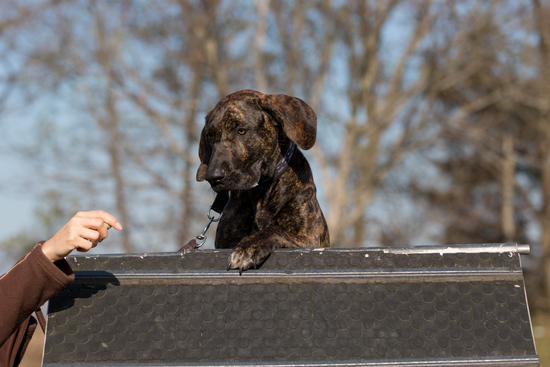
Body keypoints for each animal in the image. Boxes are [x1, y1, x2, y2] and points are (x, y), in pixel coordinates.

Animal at [196, 89, 330, 274]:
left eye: (242, 131)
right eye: (210, 136)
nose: (212, 176)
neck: (260, 191)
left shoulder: (310, 240)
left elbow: (274, 229)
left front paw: (248, 247)